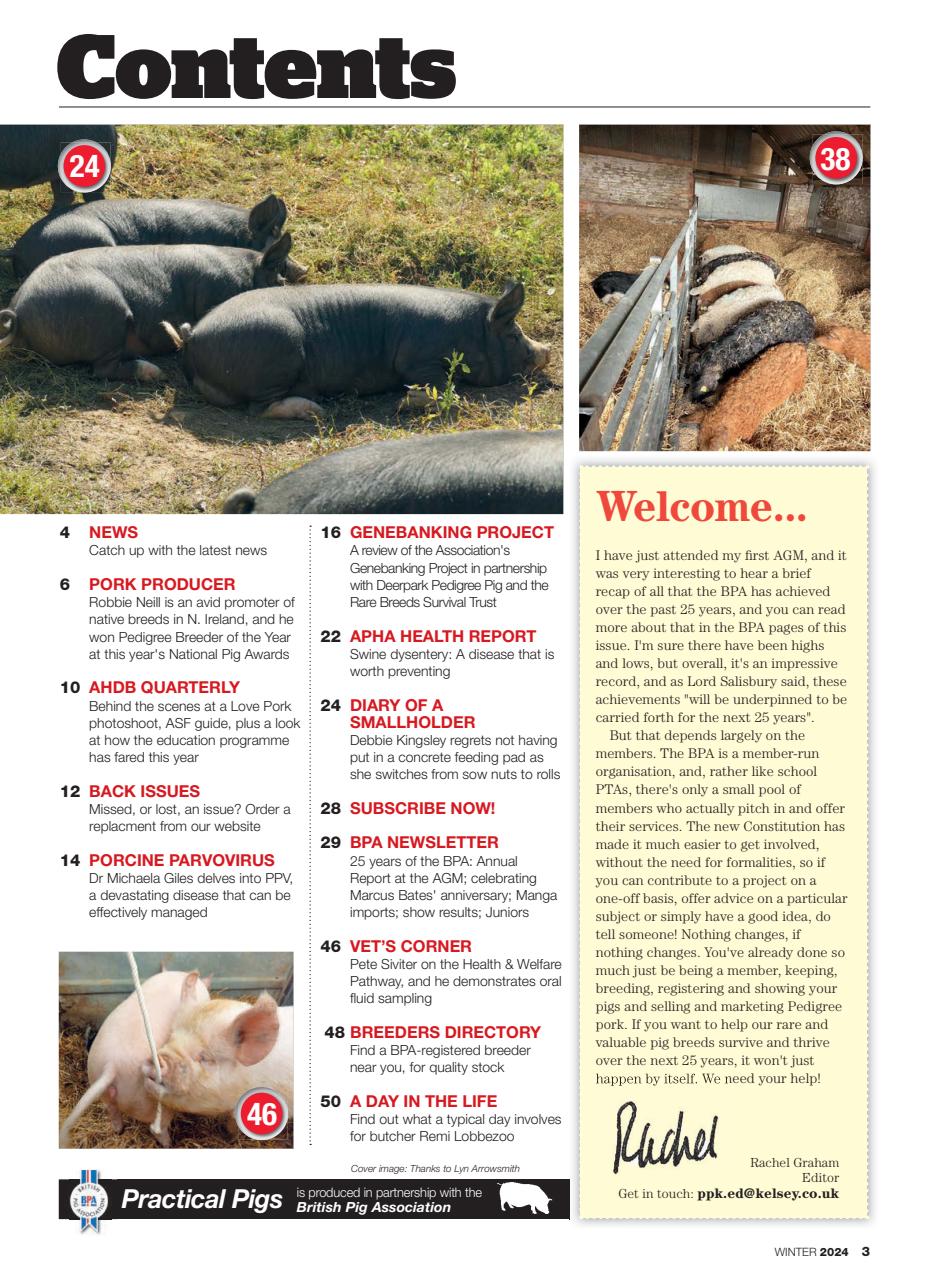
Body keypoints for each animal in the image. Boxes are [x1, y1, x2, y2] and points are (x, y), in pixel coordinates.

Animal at [1, 237, 295, 381]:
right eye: (280, 281)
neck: (247, 273)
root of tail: (19, 311)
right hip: (106, 310)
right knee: (102, 370)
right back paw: (156, 373)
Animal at [59, 970, 210, 1148]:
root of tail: (112, 1065)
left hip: (100, 1083)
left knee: (113, 1113)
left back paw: (119, 1131)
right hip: (153, 1101)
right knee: (157, 1128)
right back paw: (170, 1143)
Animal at [165, 280, 550, 419]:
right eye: (515, 335)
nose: (547, 350)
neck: (468, 331)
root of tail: (193, 336)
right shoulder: (418, 357)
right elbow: (443, 388)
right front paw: (402, 404)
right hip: (279, 348)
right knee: (261, 408)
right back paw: (314, 411)